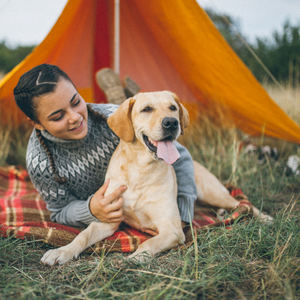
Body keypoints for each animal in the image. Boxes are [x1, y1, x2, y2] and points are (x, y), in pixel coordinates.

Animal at [40, 89, 272, 264]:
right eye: (146, 109)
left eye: (173, 108)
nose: (171, 122)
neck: (140, 170)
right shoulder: (107, 221)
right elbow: (82, 235)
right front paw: (62, 251)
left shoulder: (172, 230)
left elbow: (149, 242)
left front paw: (137, 256)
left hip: (213, 192)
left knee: (242, 204)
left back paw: (264, 218)